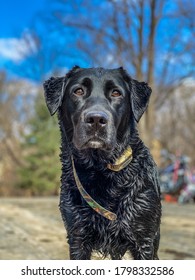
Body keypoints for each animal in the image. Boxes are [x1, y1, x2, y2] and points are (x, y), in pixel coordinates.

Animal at [43, 66, 161, 260]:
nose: (97, 119)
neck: (99, 170)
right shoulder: (77, 238)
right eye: (78, 91)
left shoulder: (143, 241)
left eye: (116, 93)